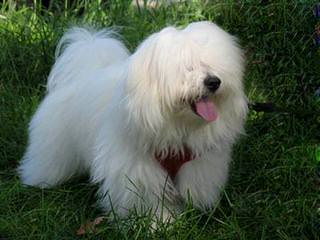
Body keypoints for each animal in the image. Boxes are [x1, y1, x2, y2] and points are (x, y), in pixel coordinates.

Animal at [16, 21, 248, 222]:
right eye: (188, 67)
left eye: (214, 66)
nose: (214, 82)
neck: (174, 123)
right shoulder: (135, 168)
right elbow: (147, 198)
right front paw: (157, 223)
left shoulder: (197, 164)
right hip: (54, 147)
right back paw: (39, 182)